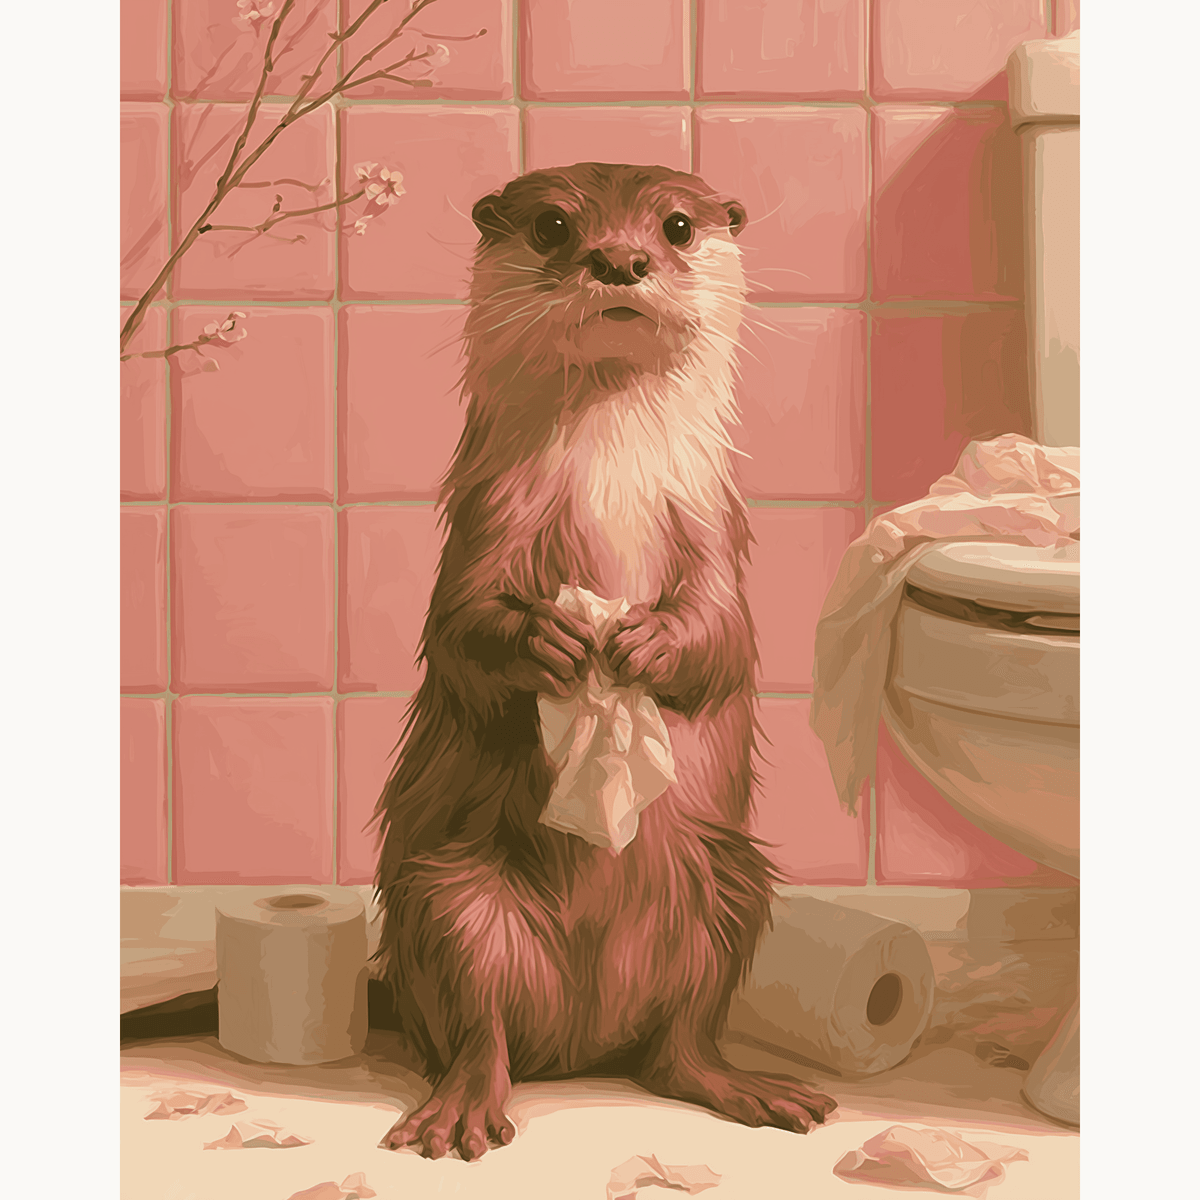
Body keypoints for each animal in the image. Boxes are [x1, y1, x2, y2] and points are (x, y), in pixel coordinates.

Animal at [374, 162, 836, 1159]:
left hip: (726, 883)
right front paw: (546, 638)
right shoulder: (487, 517)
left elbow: (725, 636)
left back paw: (745, 1086)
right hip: (450, 893)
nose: (620, 260)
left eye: (677, 226)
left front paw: (648, 642)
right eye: (552, 226)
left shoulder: (712, 523)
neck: (613, 472)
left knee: (679, 1042)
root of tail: (583, 1043)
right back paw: (462, 1108)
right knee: (478, 1017)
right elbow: (462, 627)